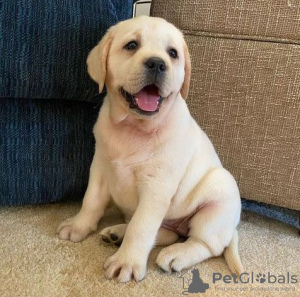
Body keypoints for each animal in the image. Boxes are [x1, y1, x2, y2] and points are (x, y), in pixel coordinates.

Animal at [56, 15, 244, 282]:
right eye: (132, 45)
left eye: (173, 53)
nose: (157, 63)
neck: (134, 127)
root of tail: (232, 226)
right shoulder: (100, 167)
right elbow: (91, 200)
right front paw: (78, 226)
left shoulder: (156, 187)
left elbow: (142, 226)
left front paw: (126, 262)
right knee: (166, 233)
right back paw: (117, 233)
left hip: (219, 196)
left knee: (206, 244)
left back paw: (176, 255)